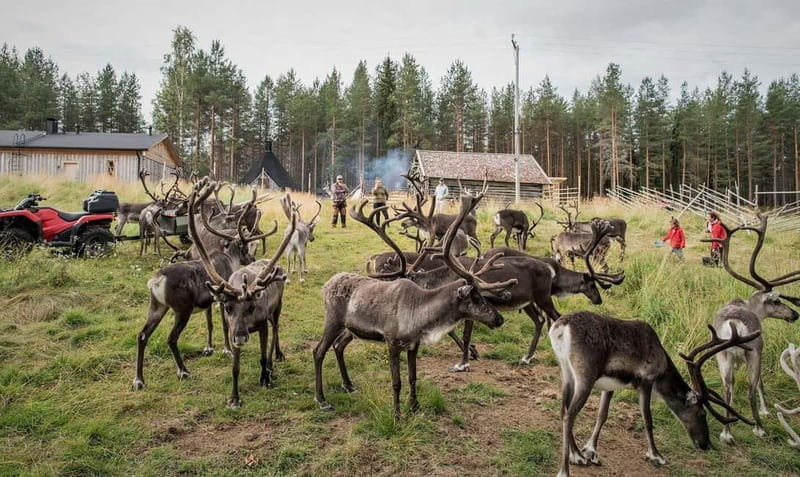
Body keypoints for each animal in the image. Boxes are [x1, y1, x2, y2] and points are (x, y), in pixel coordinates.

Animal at [132, 177, 274, 391]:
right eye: (244, 247)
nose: (252, 258)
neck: (229, 259)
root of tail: (156, 281)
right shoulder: (223, 298)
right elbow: (224, 324)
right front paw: (226, 350)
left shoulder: (209, 300)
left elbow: (209, 323)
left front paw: (209, 347)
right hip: (181, 309)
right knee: (171, 338)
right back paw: (183, 371)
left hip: (157, 306)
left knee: (142, 335)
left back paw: (139, 379)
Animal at [189, 184, 296, 408]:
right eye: (229, 308)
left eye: (251, 307)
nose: (240, 336)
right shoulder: (232, 327)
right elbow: (235, 367)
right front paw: (234, 398)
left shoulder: (262, 324)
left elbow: (263, 356)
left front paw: (265, 377)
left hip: (277, 308)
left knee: (276, 330)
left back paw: (276, 358)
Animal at [313, 180, 517, 419]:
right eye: (474, 296)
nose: (499, 318)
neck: (420, 313)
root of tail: (327, 284)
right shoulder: (392, 342)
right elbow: (396, 382)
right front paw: (397, 414)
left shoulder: (413, 345)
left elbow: (413, 377)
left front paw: (415, 407)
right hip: (333, 321)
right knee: (318, 351)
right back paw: (322, 399)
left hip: (350, 328)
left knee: (338, 346)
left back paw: (348, 384)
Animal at [550, 312, 759, 477]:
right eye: (702, 413)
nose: (706, 444)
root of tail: (561, 327)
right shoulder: (646, 381)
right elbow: (648, 420)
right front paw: (656, 456)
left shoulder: (609, 385)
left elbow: (602, 415)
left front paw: (590, 451)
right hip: (585, 376)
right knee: (569, 415)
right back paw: (565, 469)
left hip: (566, 373)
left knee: (563, 411)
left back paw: (576, 455)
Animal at [701, 213, 800, 444]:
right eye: (776, 301)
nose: (795, 314)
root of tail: (734, 324)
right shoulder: (758, 349)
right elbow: (760, 383)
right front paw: (765, 411)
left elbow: (732, 385)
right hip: (752, 351)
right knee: (751, 388)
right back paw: (759, 428)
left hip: (722, 355)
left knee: (727, 387)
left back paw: (726, 433)